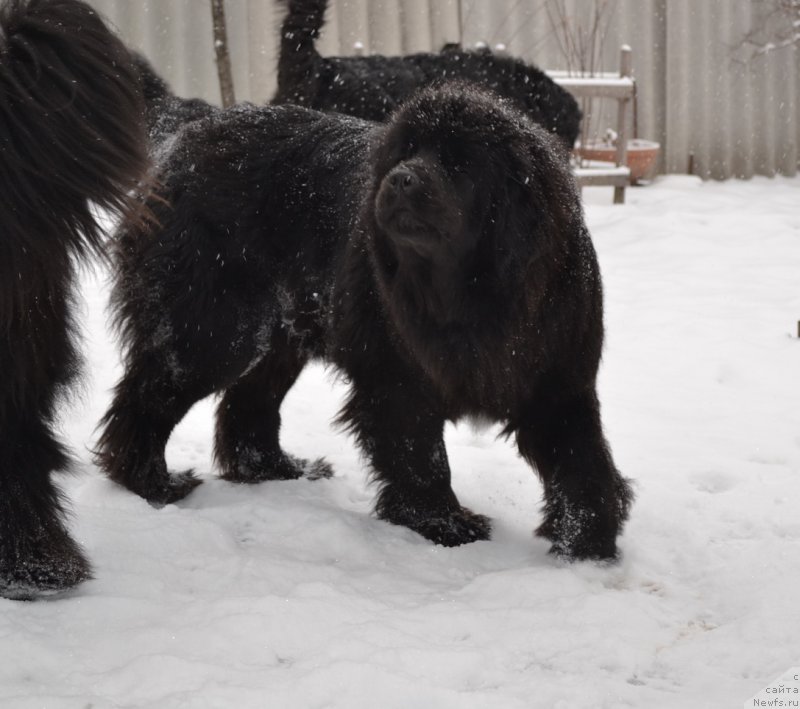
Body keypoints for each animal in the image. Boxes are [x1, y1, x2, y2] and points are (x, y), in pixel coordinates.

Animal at [95, 81, 632, 560]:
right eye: (405, 152)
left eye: (460, 163)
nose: (400, 178)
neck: (468, 293)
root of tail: (186, 138)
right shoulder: (397, 377)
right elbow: (422, 455)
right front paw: (443, 523)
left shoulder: (556, 375)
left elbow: (583, 458)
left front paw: (587, 540)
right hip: (215, 330)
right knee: (147, 396)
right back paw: (153, 483)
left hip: (278, 336)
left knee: (247, 404)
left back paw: (275, 469)